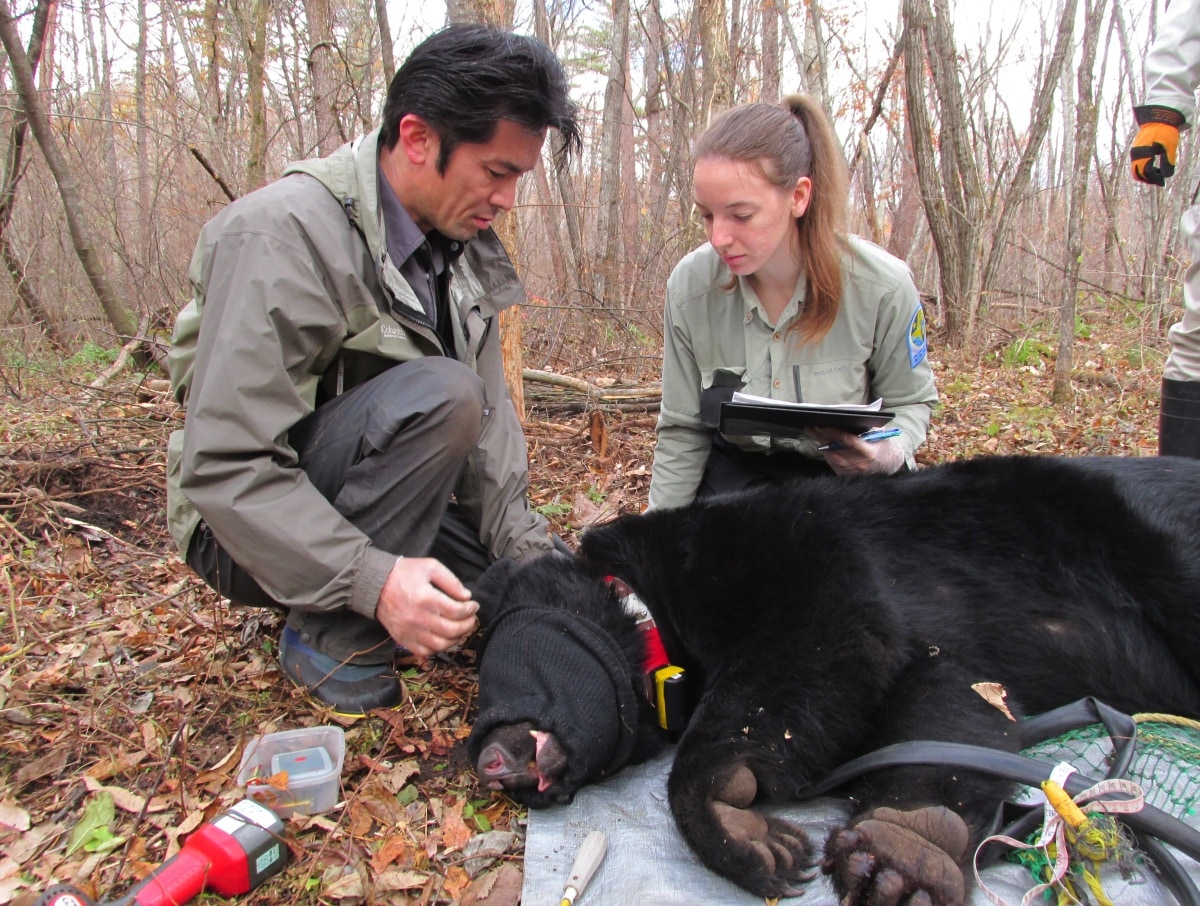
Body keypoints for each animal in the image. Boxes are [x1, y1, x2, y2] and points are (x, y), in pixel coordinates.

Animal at [463, 456, 1200, 902]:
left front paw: (733, 816)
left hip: (1150, 543)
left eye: (504, 652)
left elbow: (833, 632)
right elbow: (950, 700)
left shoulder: (788, 546)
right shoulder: (945, 650)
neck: (653, 614)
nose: (492, 761)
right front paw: (903, 853)